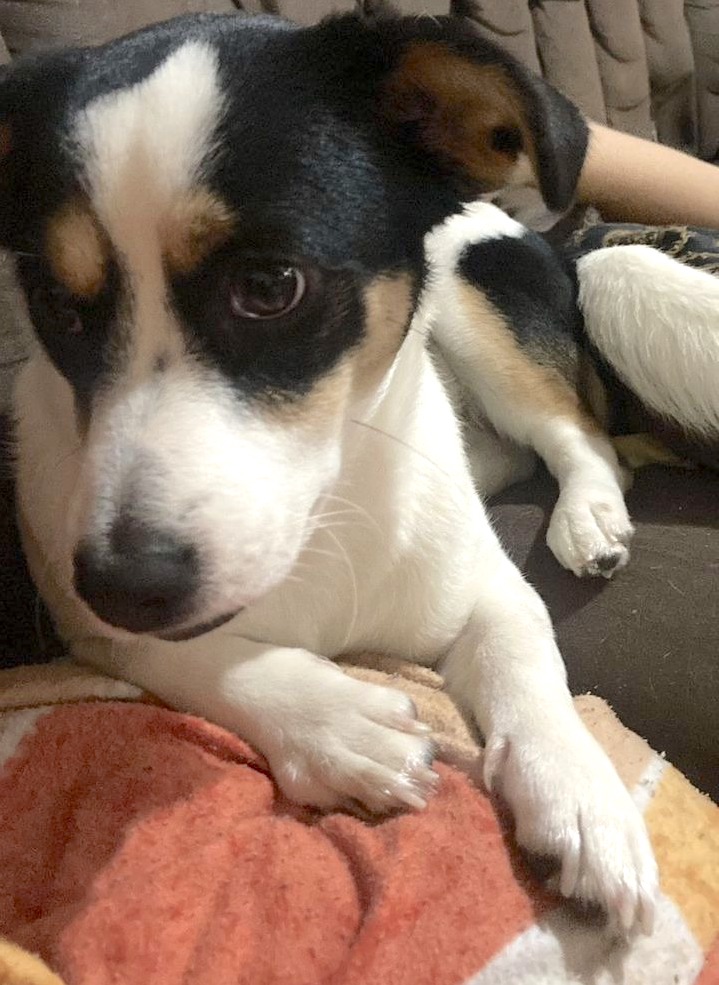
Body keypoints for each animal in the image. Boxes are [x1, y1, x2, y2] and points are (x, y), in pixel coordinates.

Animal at [7, 5, 719, 932]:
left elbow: (526, 648)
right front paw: (336, 722)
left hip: (467, 296)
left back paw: (587, 516)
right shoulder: (89, 624)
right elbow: (190, 658)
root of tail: (549, 239)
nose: (123, 583)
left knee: (582, 437)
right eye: (56, 305)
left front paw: (578, 789)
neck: (324, 518)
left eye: (270, 285)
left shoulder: (481, 582)